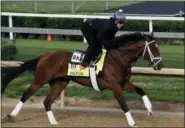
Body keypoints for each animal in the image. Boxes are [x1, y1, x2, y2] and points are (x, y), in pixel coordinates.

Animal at [1, 31, 163, 127]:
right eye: (154, 48)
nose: (160, 65)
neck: (118, 59)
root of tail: (44, 56)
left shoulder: (123, 83)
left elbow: (140, 90)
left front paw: (149, 109)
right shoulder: (114, 85)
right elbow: (123, 103)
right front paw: (132, 122)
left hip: (60, 83)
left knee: (47, 101)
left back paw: (53, 122)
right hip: (40, 79)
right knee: (26, 94)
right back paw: (10, 116)